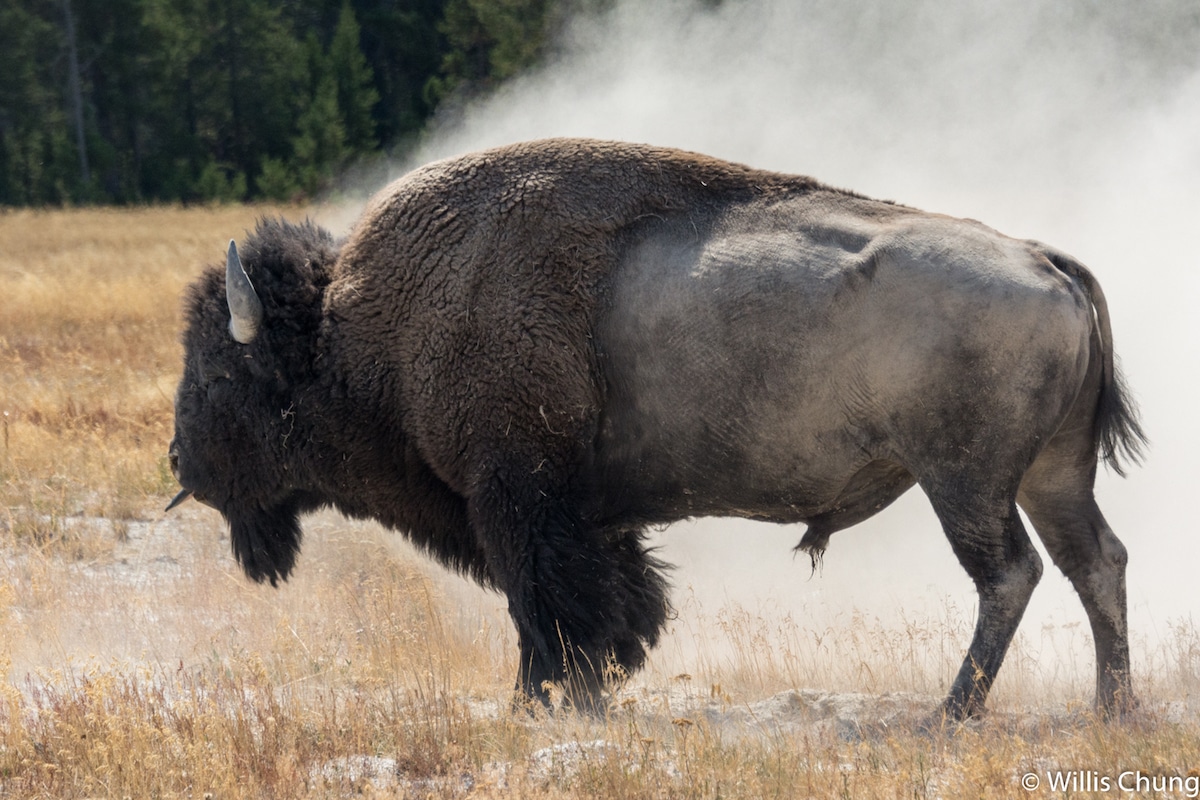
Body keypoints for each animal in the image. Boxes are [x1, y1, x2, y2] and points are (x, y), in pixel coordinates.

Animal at [166, 137, 1142, 719]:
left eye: (218, 373)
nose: (179, 457)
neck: (366, 327)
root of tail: (1045, 261)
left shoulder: (519, 501)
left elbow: (546, 604)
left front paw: (542, 700)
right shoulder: (589, 518)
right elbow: (615, 601)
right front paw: (588, 685)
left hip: (964, 482)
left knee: (1009, 575)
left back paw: (951, 714)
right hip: (1052, 475)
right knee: (1095, 561)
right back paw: (1111, 708)